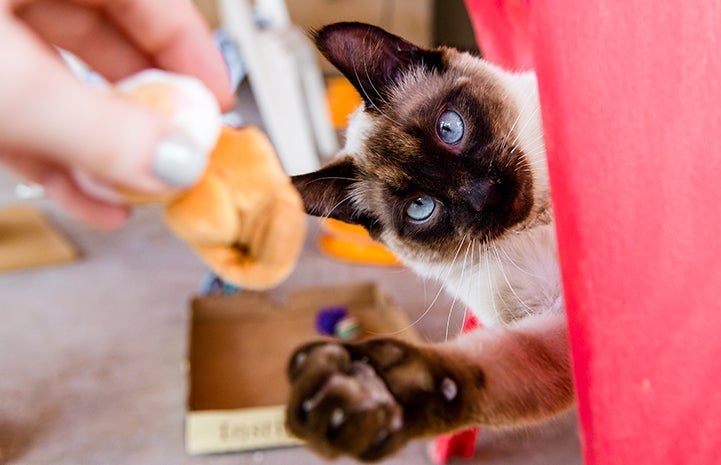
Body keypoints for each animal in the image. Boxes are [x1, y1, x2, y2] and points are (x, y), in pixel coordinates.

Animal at [284, 22, 572, 460]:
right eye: (421, 208)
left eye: (449, 128)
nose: (482, 193)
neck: (537, 219)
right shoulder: (555, 331)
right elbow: (469, 372)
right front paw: (371, 396)